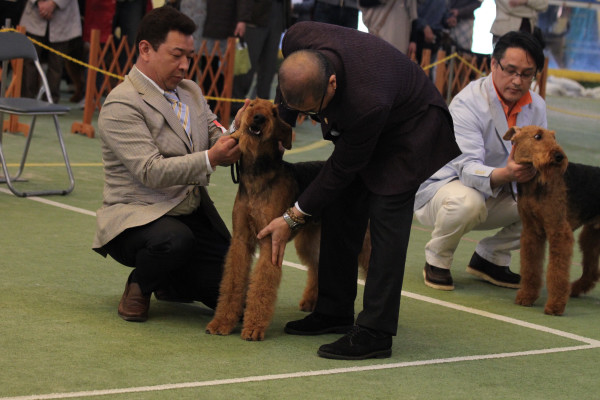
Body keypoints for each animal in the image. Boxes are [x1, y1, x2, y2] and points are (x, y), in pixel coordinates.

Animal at [205, 98, 370, 340]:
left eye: (274, 112)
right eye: (252, 104)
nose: (258, 118)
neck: (258, 175)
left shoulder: (271, 240)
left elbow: (262, 283)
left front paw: (253, 327)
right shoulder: (241, 240)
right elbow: (233, 281)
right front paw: (221, 322)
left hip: (361, 240)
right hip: (310, 239)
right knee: (316, 267)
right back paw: (311, 302)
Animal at [502, 126, 600, 316]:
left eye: (554, 138)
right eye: (537, 136)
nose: (559, 156)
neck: (535, 183)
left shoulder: (559, 231)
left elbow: (556, 272)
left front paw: (555, 306)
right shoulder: (531, 231)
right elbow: (531, 266)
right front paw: (526, 297)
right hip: (590, 236)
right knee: (591, 271)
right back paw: (574, 289)